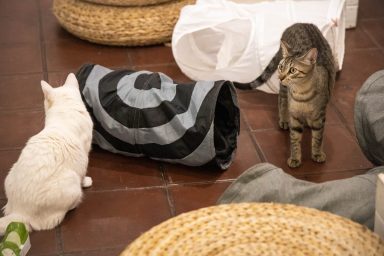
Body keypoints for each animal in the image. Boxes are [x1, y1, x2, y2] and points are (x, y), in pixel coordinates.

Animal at [0, 73, 93, 234]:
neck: (66, 110)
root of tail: (20, 212)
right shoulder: (85, 155)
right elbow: (83, 173)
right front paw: (86, 181)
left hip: (9, 175)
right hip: (72, 182)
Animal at [234, 23, 336, 168]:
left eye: (293, 70)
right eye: (281, 67)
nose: (281, 77)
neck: (302, 94)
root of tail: (299, 23)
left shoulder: (320, 117)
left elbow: (318, 138)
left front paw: (317, 154)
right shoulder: (294, 116)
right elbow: (294, 139)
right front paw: (295, 158)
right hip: (283, 90)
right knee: (281, 100)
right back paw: (283, 120)